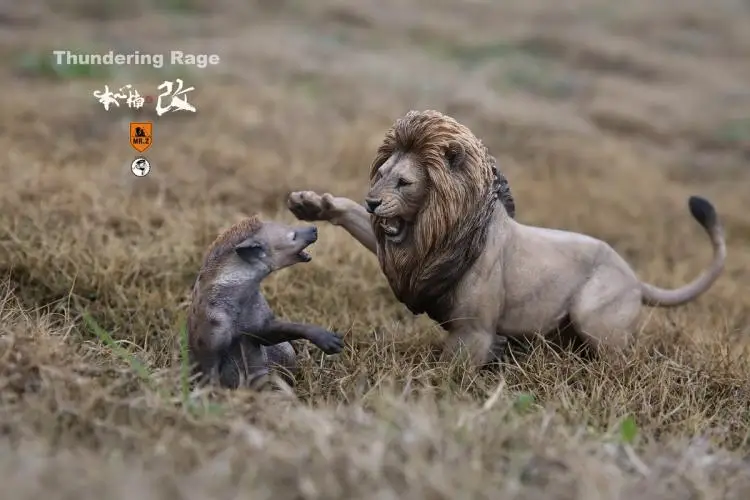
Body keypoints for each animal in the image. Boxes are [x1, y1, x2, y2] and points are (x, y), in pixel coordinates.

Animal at [287, 109, 726, 368]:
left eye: (405, 182)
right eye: (380, 173)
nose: (373, 201)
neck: (439, 230)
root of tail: (636, 278)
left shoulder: (474, 333)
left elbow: (449, 374)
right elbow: (354, 220)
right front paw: (312, 204)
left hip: (595, 315)